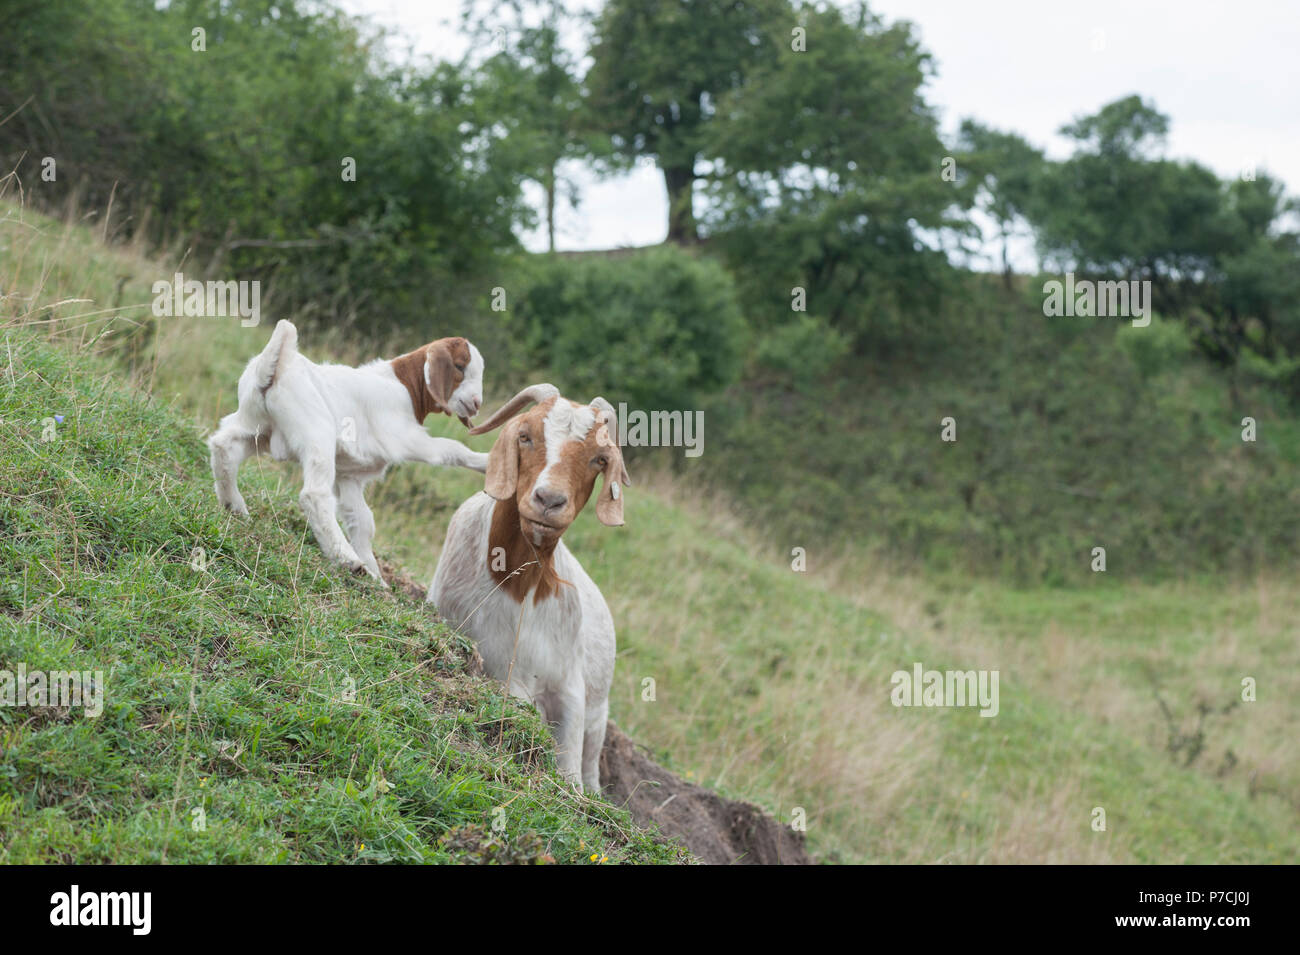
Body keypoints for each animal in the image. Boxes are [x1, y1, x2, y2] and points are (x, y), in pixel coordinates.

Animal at [208, 319, 488, 580]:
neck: (405, 386)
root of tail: (279, 363)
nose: (476, 403)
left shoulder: (349, 475)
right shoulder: (406, 439)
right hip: (317, 433)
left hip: (256, 426)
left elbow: (362, 520)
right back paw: (347, 559)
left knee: (224, 444)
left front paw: (377, 579)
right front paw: (486, 462)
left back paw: (234, 506)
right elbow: (452, 449)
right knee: (314, 494)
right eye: (459, 366)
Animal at [428, 384, 632, 792]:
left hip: (598, 719)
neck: (516, 586)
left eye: (599, 459)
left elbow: (570, 775)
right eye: (525, 436)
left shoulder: (570, 693)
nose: (549, 500)